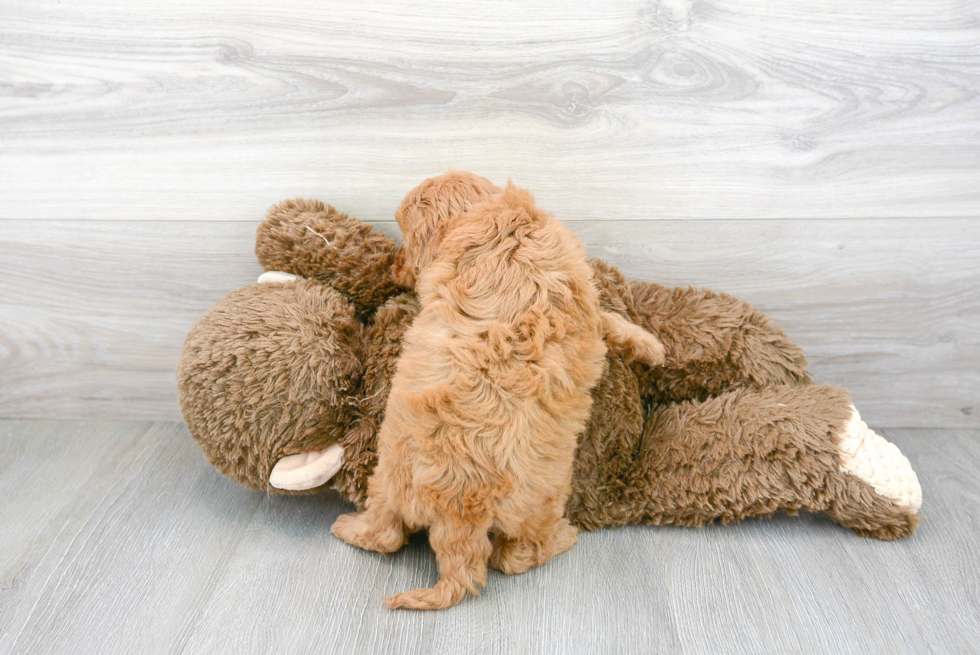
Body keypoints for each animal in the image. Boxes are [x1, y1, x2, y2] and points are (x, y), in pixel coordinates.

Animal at [334, 174, 612, 608]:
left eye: (406, 238)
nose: (394, 268)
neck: (493, 216)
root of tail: (462, 510)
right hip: (539, 498)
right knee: (514, 556)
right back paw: (561, 538)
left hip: (389, 475)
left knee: (387, 533)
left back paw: (348, 527)